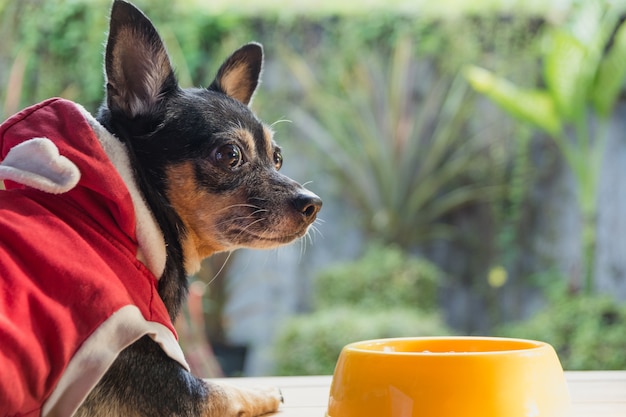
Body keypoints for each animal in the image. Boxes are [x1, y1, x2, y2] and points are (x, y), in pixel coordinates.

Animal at [0, 1, 322, 414]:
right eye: (230, 155)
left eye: (277, 158)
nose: (312, 204)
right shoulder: (166, 380)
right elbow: (224, 389)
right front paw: (264, 390)